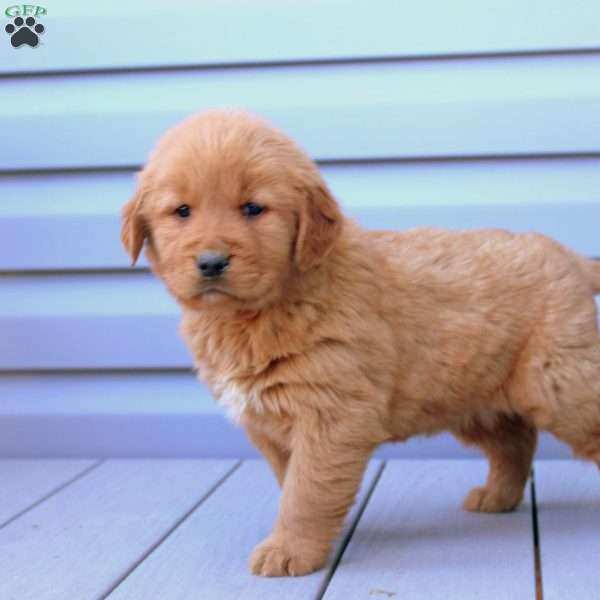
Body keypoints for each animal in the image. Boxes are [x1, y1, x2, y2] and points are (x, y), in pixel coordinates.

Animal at [122, 108, 600, 576]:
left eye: (253, 208)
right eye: (182, 211)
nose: (211, 262)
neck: (257, 313)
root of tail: (570, 256)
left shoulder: (329, 416)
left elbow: (306, 492)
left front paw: (289, 551)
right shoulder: (271, 427)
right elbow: (290, 483)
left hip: (561, 386)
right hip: (474, 398)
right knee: (515, 442)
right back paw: (497, 497)